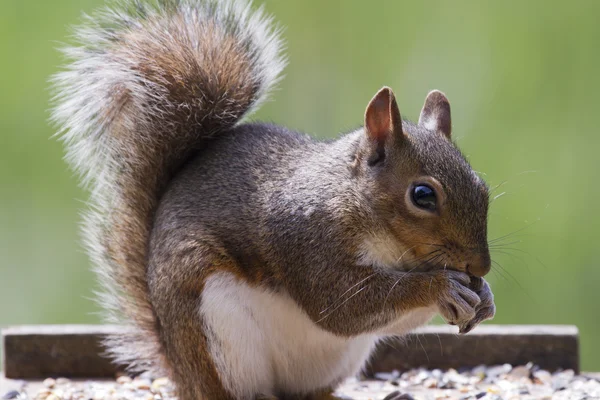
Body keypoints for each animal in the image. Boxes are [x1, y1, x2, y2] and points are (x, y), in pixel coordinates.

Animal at [51, 0, 494, 400]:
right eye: (422, 195)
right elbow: (342, 306)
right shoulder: (306, 238)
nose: (481, 266)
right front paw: (441, 287)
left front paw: (484, 296)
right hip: (216, 333)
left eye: (483, 187)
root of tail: (180, 370)